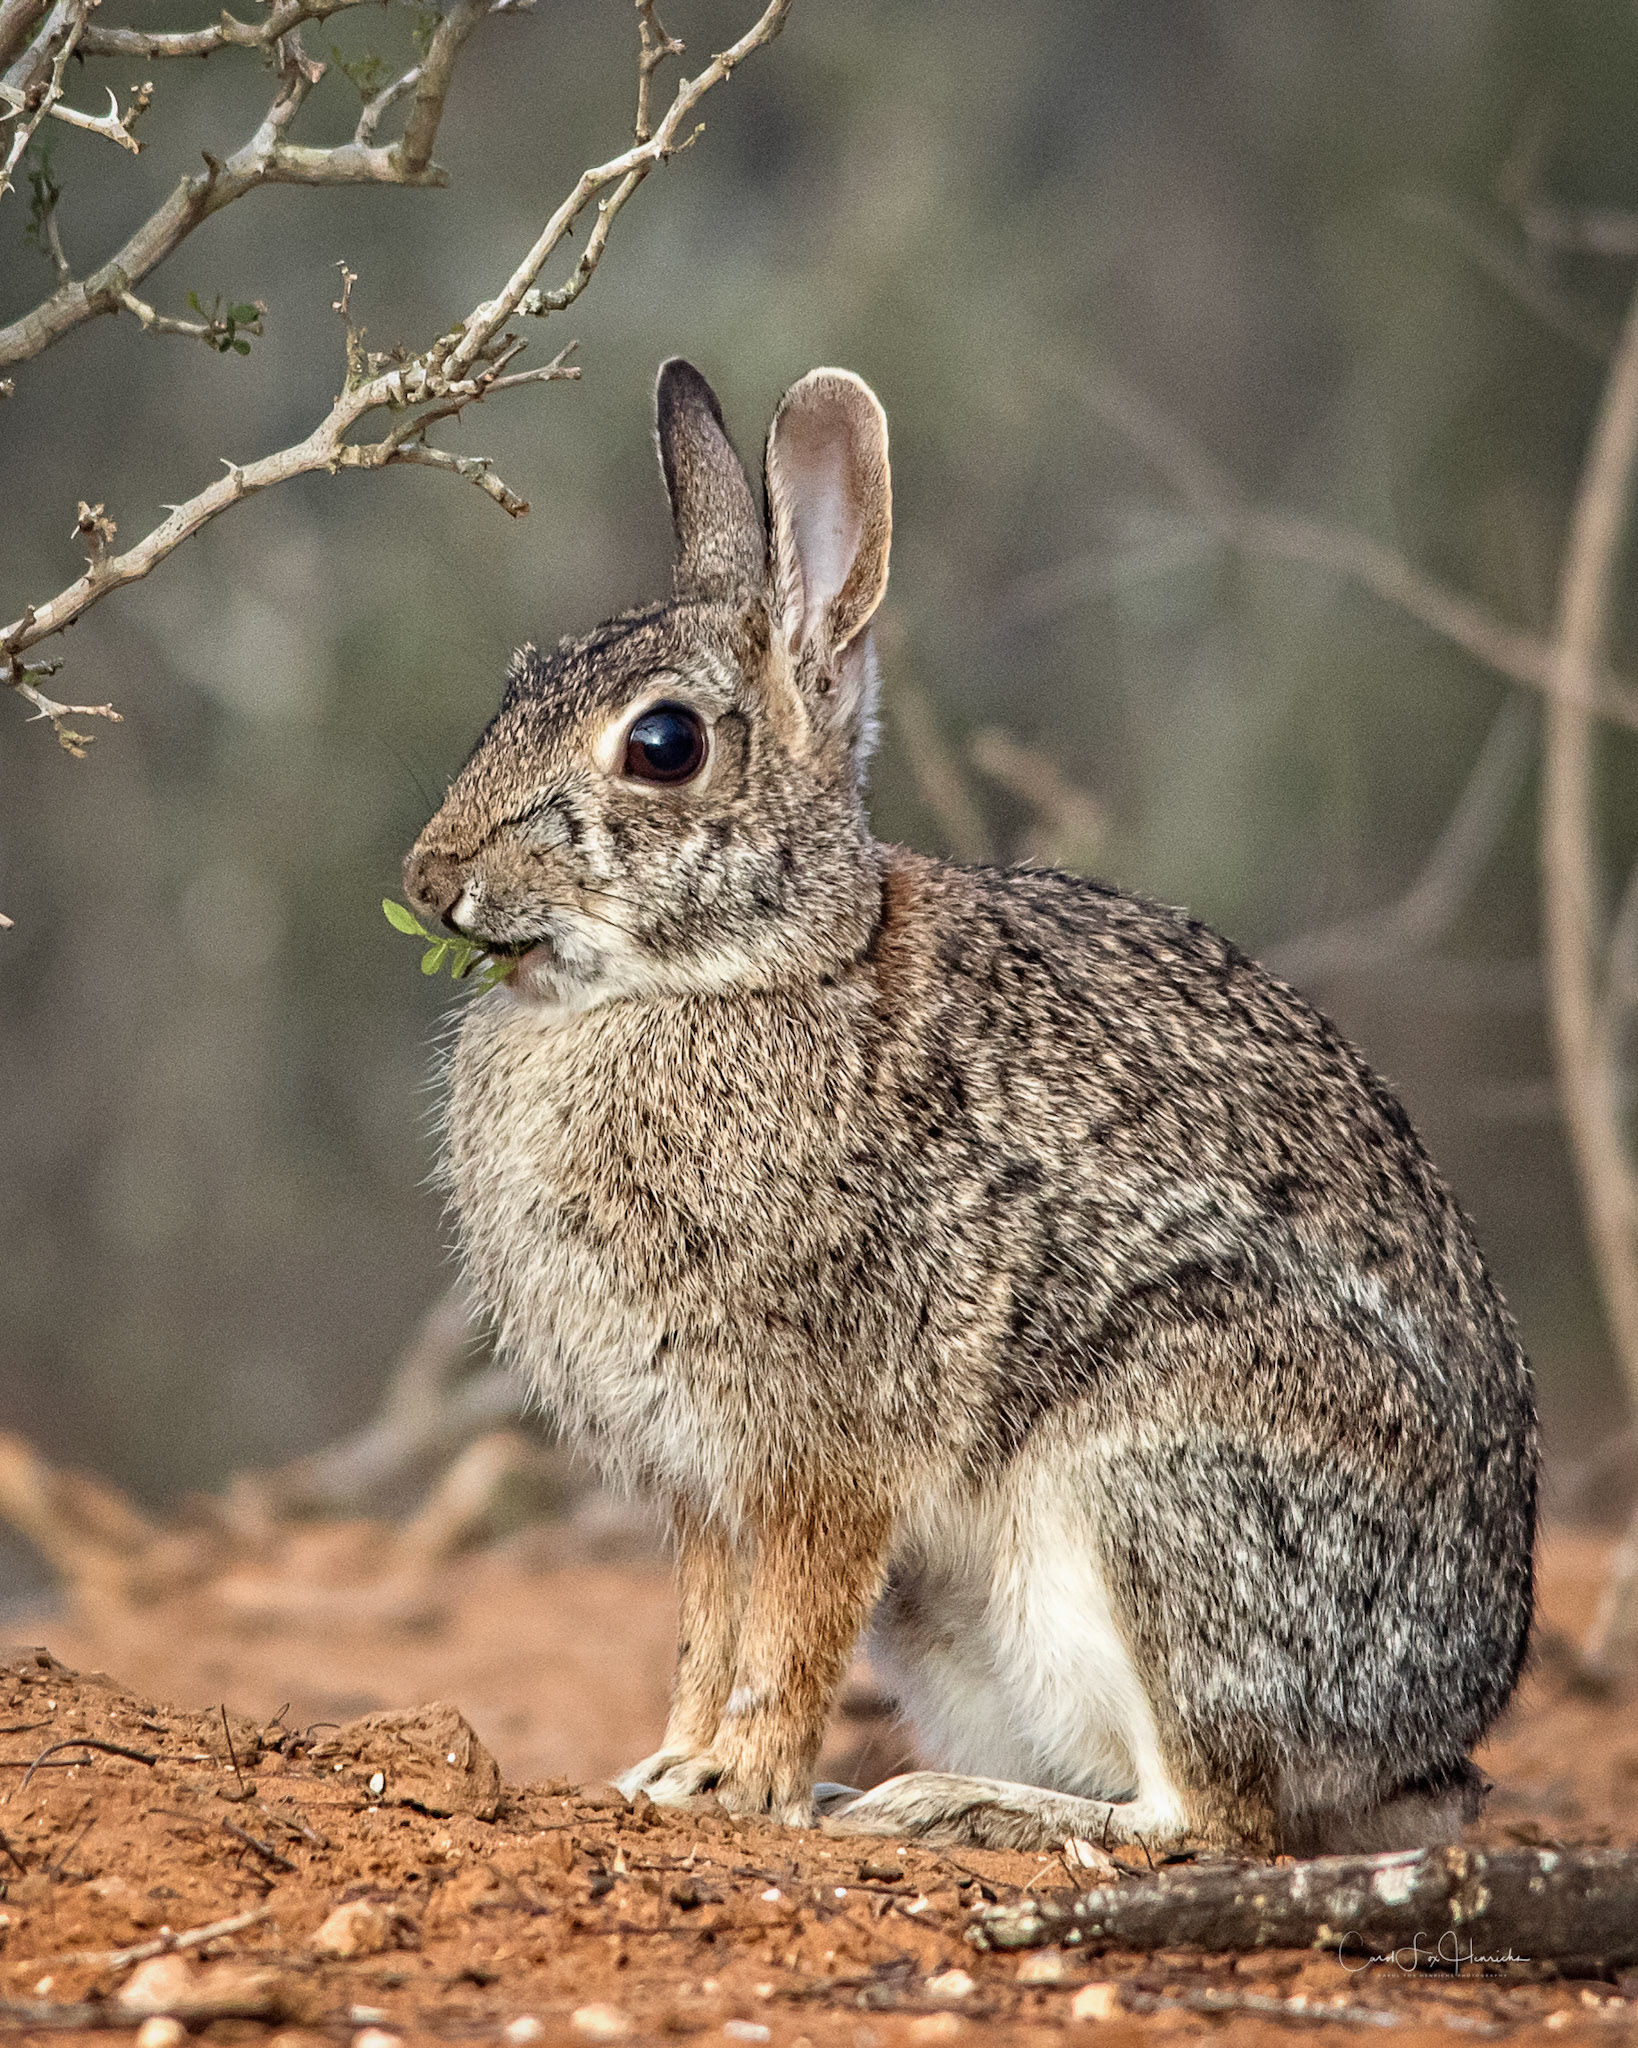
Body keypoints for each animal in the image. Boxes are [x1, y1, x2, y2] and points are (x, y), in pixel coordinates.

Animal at [402, 358, 1537, 1856]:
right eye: (520, 680)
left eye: (663, 745)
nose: (428, 879)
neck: (756, 965)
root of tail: (1423, 1746)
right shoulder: (698, 1478)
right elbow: (708, 1631)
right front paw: (668, 1772)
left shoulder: (828, 1443)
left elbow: (791, 1626)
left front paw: (741, 1786)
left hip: (1164, 1487)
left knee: (1208, 1816)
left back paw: (938, 1803)